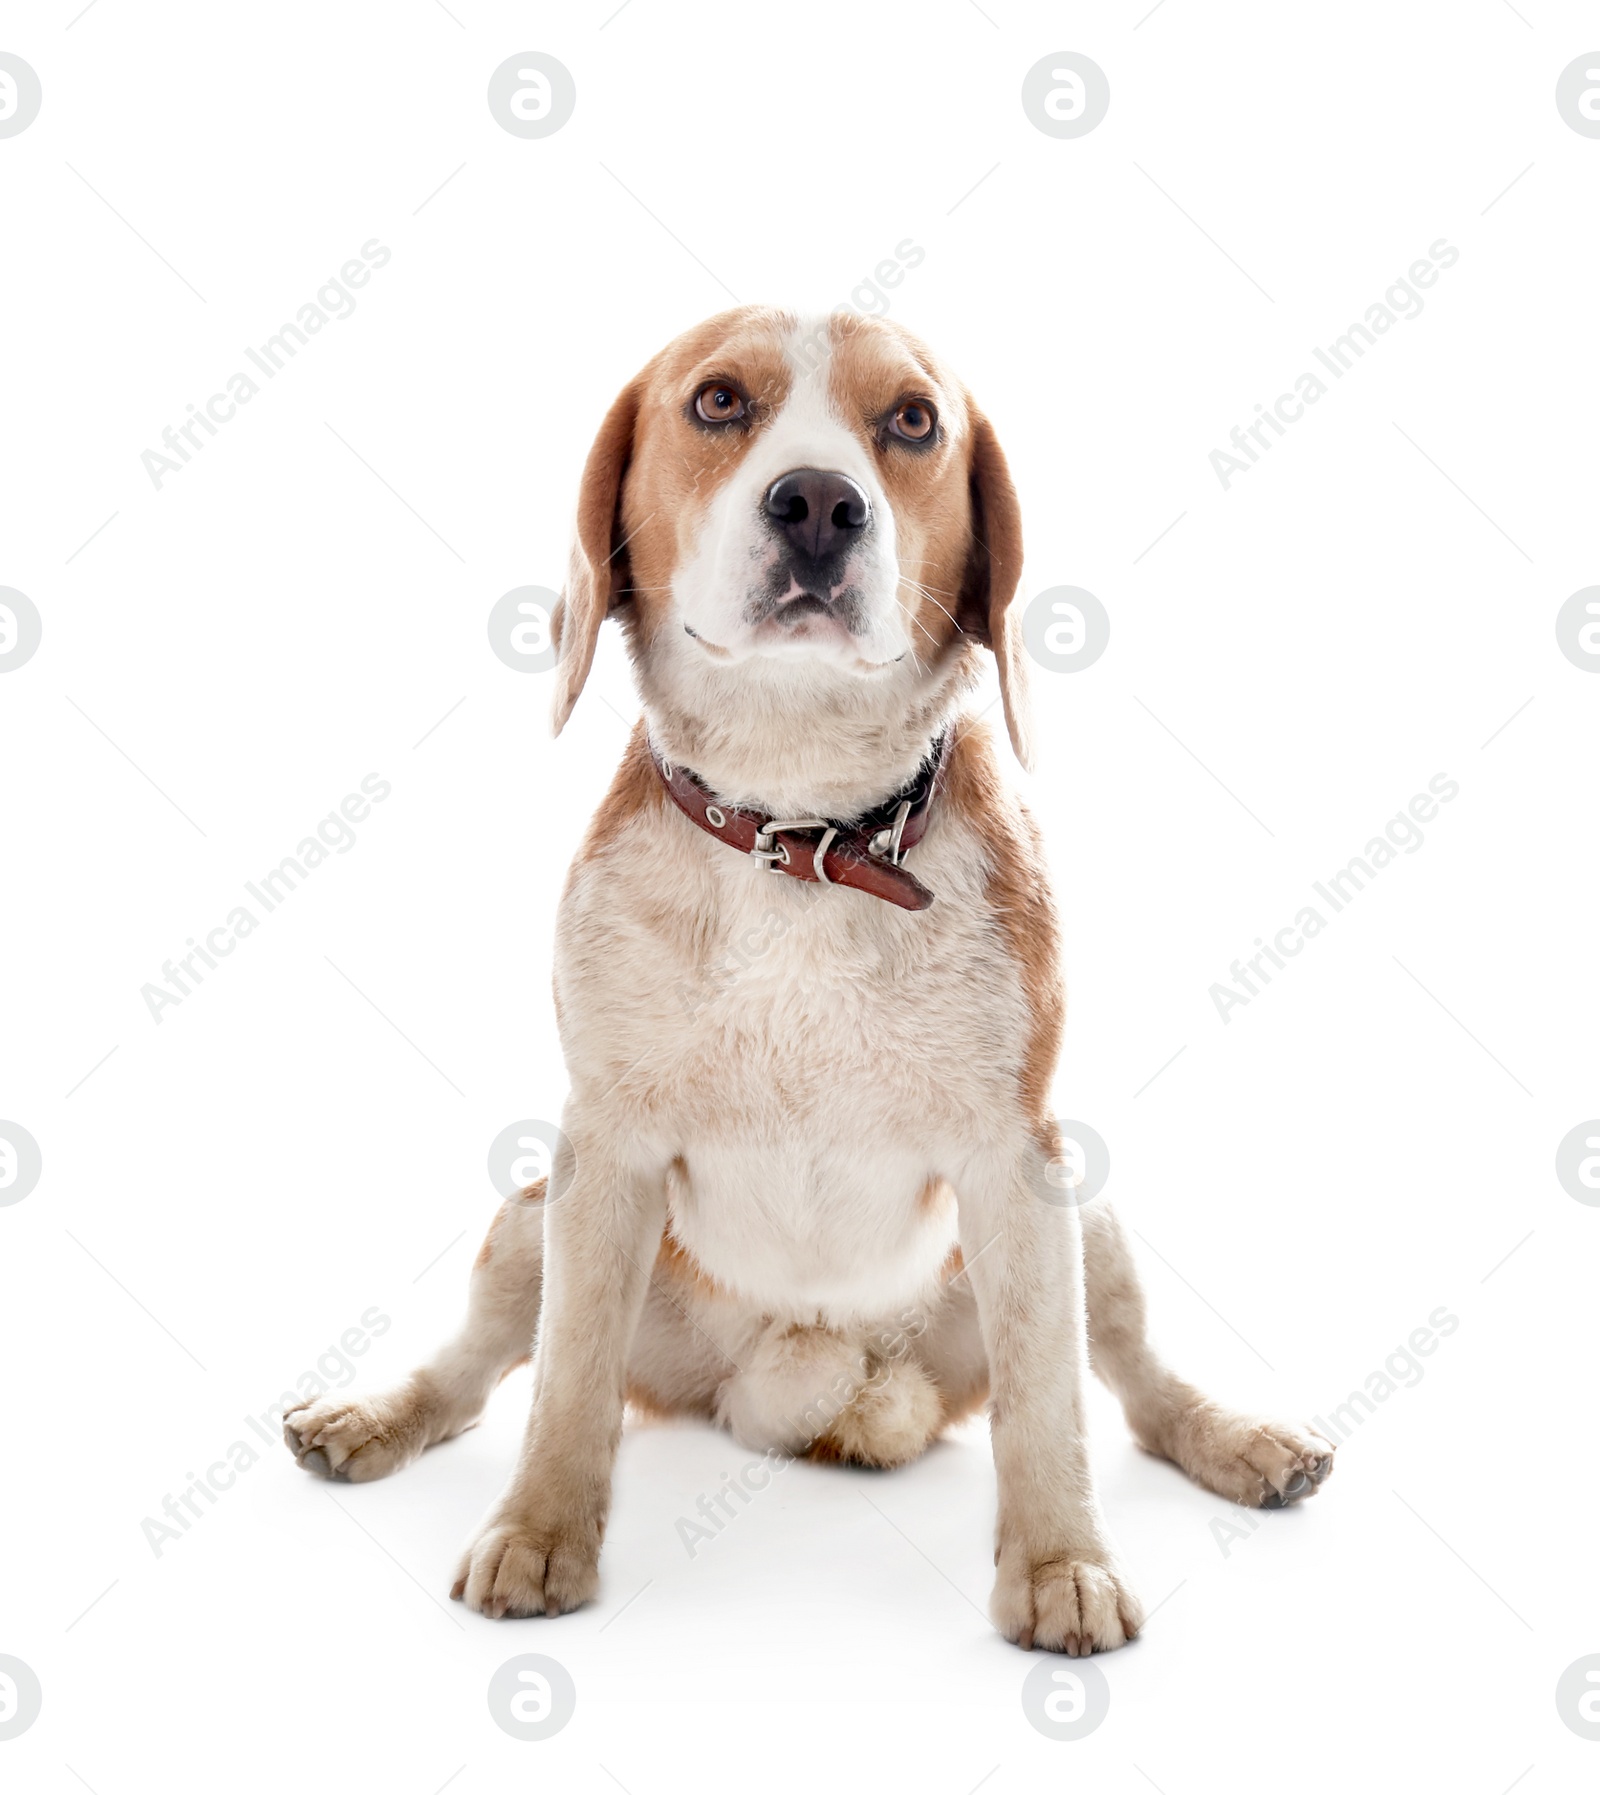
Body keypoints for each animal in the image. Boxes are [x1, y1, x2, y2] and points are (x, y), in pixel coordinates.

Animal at [281, 305, 1336, 1651]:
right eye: (719, 401)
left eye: (915, 421)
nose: (821, 504)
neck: (806, 835)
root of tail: (806, 1385)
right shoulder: (602, 1153)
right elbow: (565, 1384)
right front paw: (541, 1530)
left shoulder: (1017, 1163)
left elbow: (1050, 1405)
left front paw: (1059, 1562)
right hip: (534, 1213)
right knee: (474, 1376)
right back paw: (376, 1416)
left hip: (1084, 1217)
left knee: (1140, 1391)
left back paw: (1237, 1439)